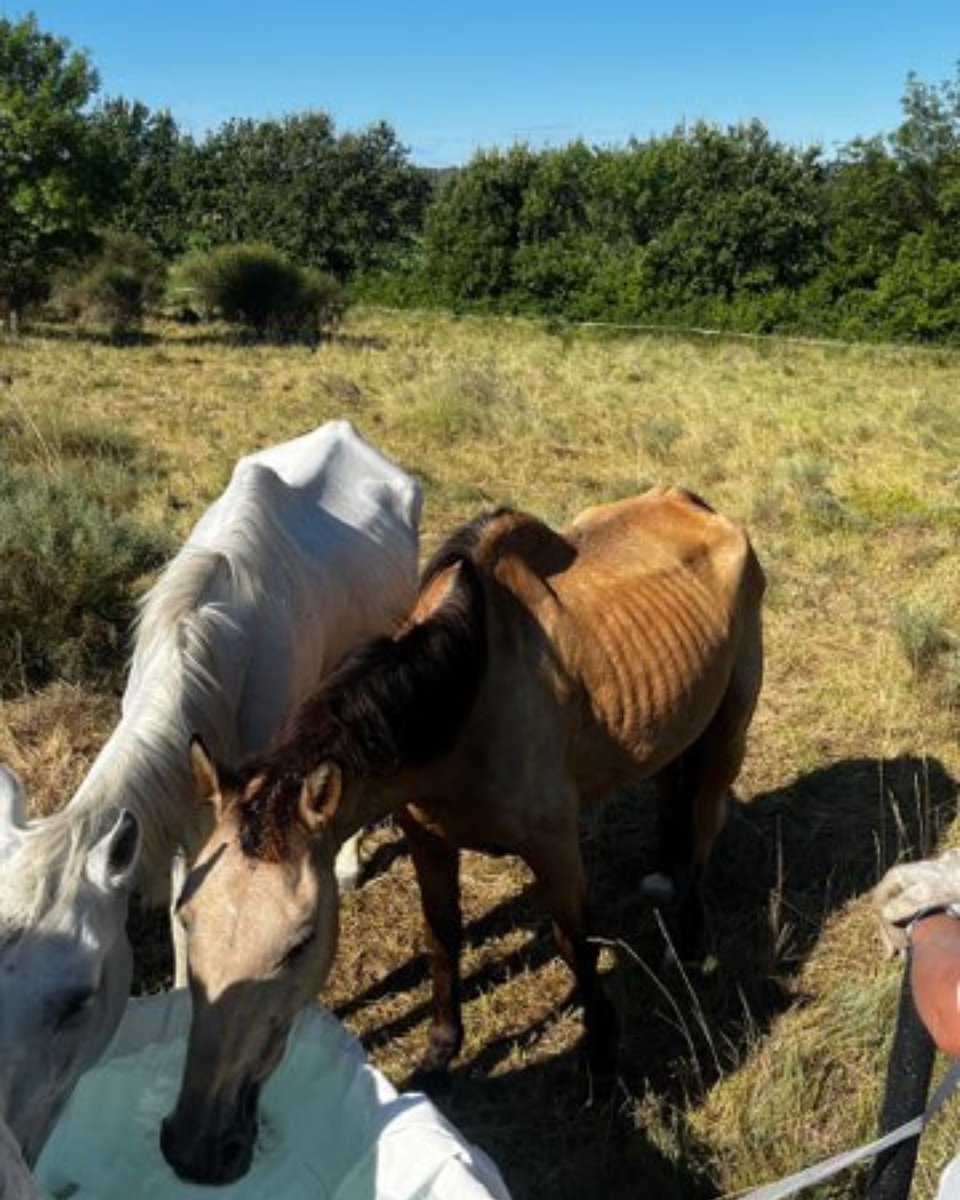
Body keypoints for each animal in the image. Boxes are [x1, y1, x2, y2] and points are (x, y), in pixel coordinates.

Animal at [162, 486, 764, 1186]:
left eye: (301, 942)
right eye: (187, 917)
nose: (195, 1148)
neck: (466, 697)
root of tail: (698, 505)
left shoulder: (555, 846)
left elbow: (575, 944)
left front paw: (601, 1063)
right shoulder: (428, 838)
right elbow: (442, 935)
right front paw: (440, 1053)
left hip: (730, 724)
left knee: (705, 817)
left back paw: (688, 937)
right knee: (673, 791)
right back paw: (664, 877)